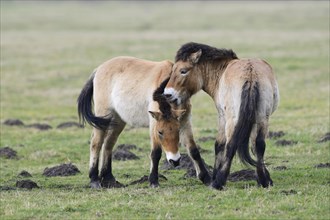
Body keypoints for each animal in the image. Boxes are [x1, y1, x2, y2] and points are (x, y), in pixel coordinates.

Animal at [77, 55, 210, 188]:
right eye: (160, 132)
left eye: (177, 131)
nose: (175, 161)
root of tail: (98, 69)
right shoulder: (154, 124)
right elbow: (156, 153)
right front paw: (153, 181)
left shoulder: (184, 121)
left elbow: (193, 150)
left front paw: (207, 179)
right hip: (103, 116)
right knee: (96, 143)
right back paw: (94, 180)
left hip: (118, 120)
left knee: (108, 144)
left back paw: (109, 178)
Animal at [164, 42, 278, 190]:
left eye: (183, 71)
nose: (167, 94)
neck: (222, 71)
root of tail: (250, 74)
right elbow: (254, 145)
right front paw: (264, 178)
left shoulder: (222, 116)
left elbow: (219, 144)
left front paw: (215, 176)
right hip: (262, 118)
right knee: (259, 144)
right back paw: (264, 181)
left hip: (232, 120)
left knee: (231, 145)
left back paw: (219, 182)